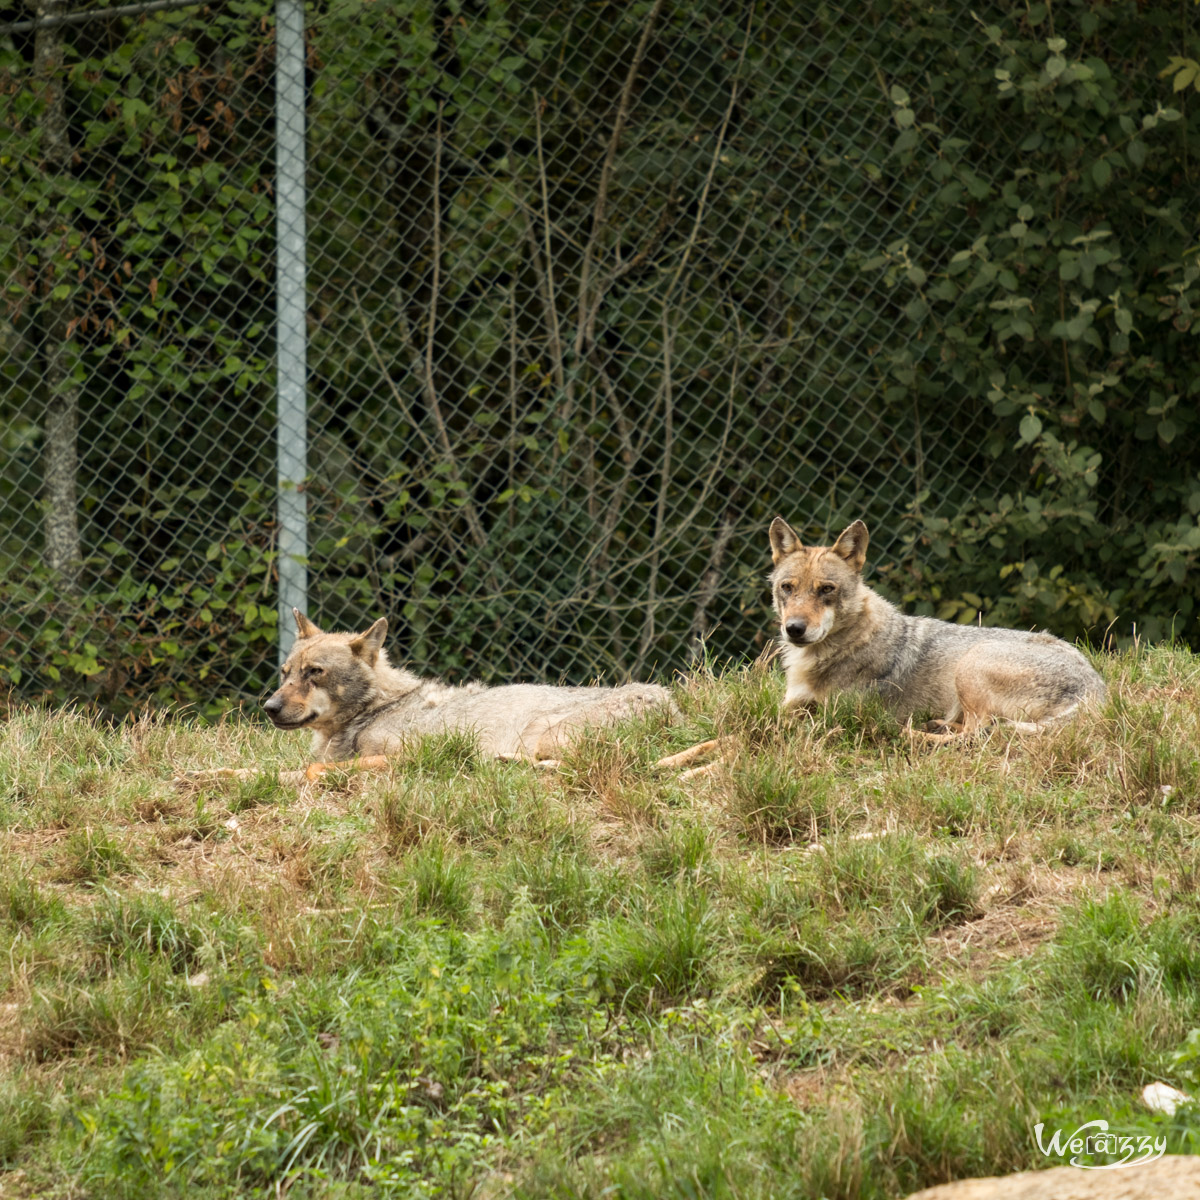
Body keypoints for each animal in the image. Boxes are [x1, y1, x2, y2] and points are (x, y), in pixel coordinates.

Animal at [264, 609, 681, 758]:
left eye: (314, 672)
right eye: (285, 673)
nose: (268, 708)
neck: (377, 708)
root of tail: (671, 706)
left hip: (540, 737)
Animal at [768, 513, 1104, 734]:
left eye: (826, 589)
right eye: (787, 588)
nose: (794, 628)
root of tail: (1095, 687)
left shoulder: (837, 714)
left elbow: (777, 719)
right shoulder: (792, 701)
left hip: (972, 662)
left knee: (978, 734)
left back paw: (915, 734)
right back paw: (936, 725)